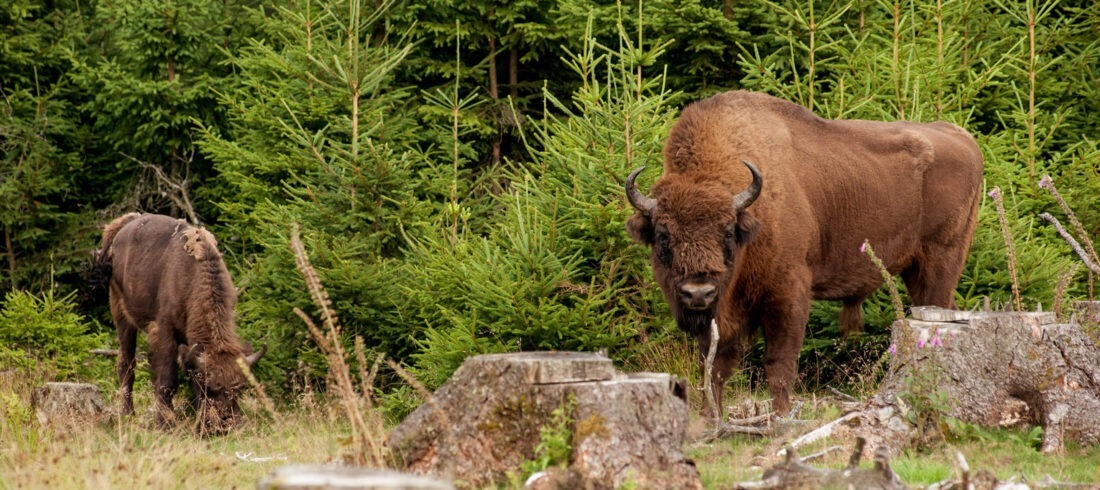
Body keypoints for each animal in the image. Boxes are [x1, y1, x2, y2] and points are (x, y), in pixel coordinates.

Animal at [92, 212, 264, 433]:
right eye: (210, 388)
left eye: (241, 389)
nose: (225, 425)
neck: (192, 279)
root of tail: (124, 225)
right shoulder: (165, 331)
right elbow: (168, 380)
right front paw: (165, 424)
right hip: (121, 314)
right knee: (126, 364)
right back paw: (127, 414)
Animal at [629, 90, 981, 416]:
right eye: (663, 236)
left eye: (727, 231)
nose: (698, 293)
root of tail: (964, 138)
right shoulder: (719, 317)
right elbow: (713, 367)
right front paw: (711, 418)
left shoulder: (788, 294)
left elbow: (778, 364)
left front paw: (782, 417)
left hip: (941, 260)